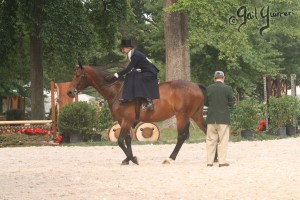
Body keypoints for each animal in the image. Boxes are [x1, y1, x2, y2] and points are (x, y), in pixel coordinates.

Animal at [67, 63, 206, 165]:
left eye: (78, 75)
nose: (69, 92)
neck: (116, 91)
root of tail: (196, 85)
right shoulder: (122, 121)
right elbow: (127, 140)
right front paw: (128, 159)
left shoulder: (126, 120)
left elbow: (120, 141)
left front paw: (132, 158)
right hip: (195, 115)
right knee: (205, 130)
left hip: (181, 116)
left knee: (181, 136)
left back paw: (170, 158)